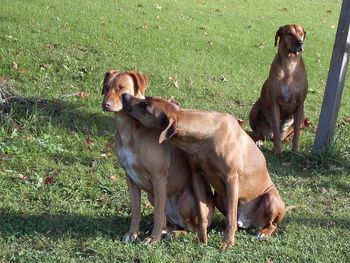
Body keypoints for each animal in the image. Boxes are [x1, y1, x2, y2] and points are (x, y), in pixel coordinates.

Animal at [101, 70, 215, 245]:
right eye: (106, 87)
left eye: (121, 88)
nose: (105, 104)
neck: (131, 131)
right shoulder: (130, 178)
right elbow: (136, 209)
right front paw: (132, 233)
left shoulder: (159, 178)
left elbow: (158, 214)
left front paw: (153, 239)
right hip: (151, 195)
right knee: (169, 221)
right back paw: (165, 229)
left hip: (186, 197)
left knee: (189, 228)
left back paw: (173, 233)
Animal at [121, 94, 286, 250]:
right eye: (146, 98)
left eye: (146, 106)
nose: (124, 96)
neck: (207, 135)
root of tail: (249, 222)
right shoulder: (197, 176)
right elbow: (202, 215)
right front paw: (202, 238)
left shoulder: (231, 178)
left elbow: (230, 217)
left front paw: (227, 242)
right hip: (219, 197)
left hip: (271, 199)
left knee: (269, 223)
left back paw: (263, 232)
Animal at [247, 24, 308, 157]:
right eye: (289, 33)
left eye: (301, 33)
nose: (300, 43)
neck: (290, 64)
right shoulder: (275, 104)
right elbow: (275, 126)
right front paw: (277, 151)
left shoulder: (300, 105)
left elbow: (296, 133)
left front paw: (295, 151)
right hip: (255, 108)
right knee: (261, 134)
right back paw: (260, 140)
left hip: (302, 117)